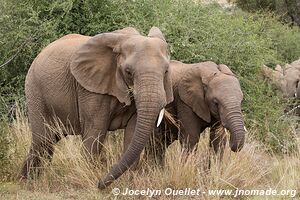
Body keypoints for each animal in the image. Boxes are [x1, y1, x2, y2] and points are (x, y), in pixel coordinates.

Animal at [20, 27, 173, 189]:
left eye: (166, 71)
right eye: (128, 72)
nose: (100, 183)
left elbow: (133, 131)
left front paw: (130, 183)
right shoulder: (90, 88)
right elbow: (95, 131)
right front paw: (90, 182)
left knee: (48, 141)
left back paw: (26, 179)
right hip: (35, 90)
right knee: (43, 140)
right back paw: (27, 182)